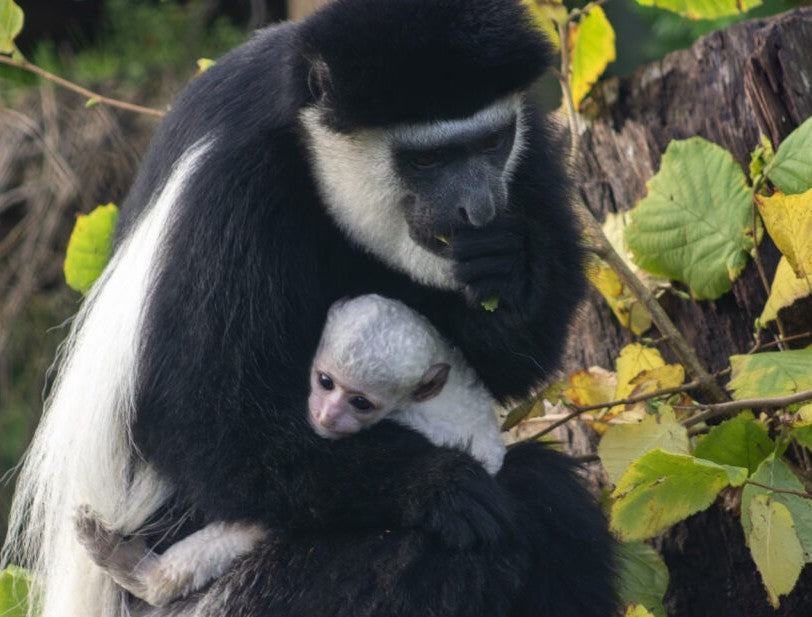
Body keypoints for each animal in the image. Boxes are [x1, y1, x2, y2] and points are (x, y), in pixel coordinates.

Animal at [3, 2, 615, 616]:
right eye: (427, 159)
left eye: (491, 143)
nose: (478, 208)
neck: (304, 131)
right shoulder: (233, 189)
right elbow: (202, 420)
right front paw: (440, 485)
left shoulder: (528, 149)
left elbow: (511, 365)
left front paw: (506, 263)